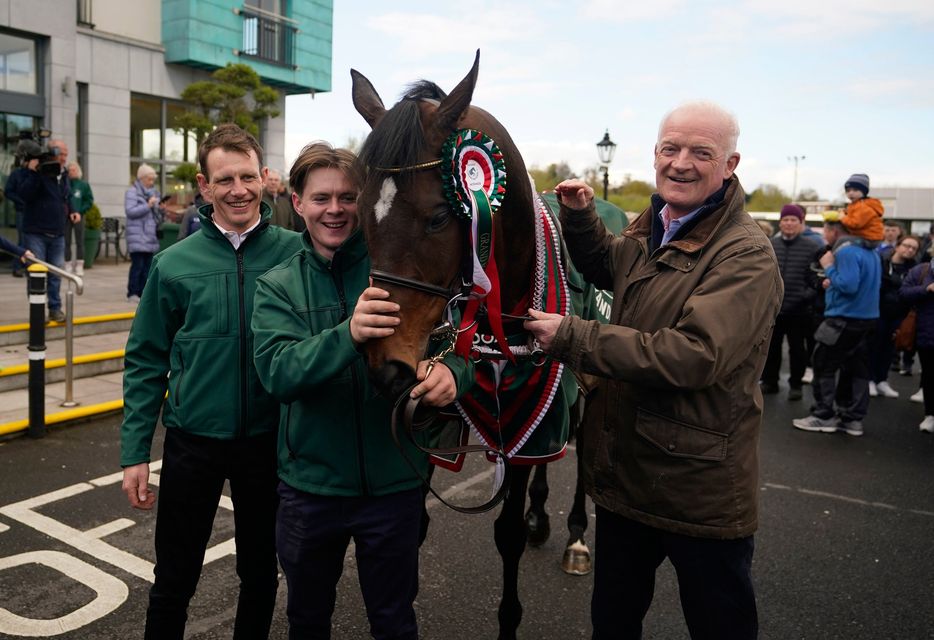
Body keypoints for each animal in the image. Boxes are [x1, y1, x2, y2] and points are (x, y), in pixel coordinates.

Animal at [352, 51, 592, 640]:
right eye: (361, 211)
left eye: (440, 215)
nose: (387, 366)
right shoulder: (433, 416)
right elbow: (413, 522)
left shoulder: (525, 414)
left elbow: (505, 533)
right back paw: (542, 515)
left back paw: (575, 534)